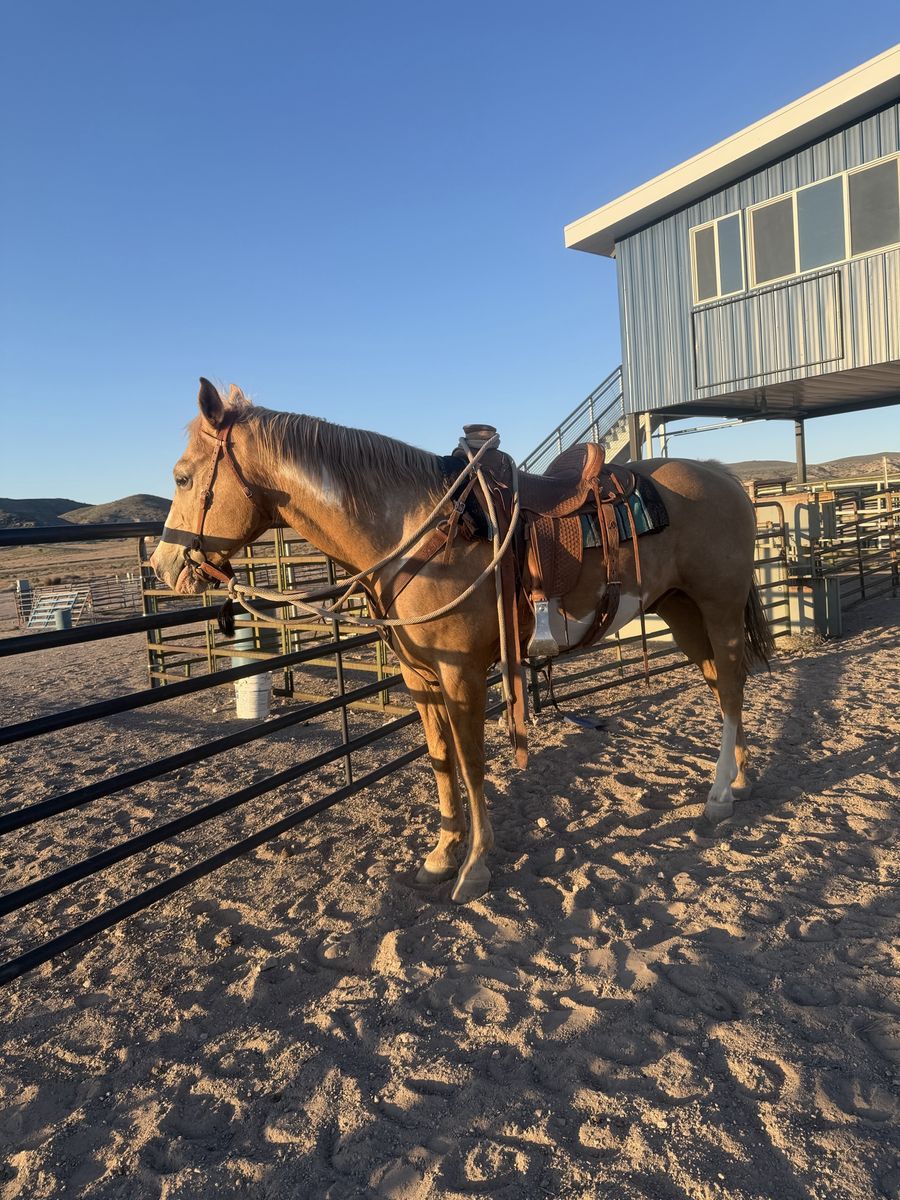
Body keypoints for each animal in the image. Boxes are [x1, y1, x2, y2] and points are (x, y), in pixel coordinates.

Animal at [150, 379, 774, 902]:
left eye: (182, 477)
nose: (162, 566)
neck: (413, 531)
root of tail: (725, 477)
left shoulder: (462, 673)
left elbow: (473, 764)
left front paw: (474, 867)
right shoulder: (420, 676)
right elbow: (441, 761)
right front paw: (442, 856)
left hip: (716, 609)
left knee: (731, 690)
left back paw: (719, 796)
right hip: (683, 612)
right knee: (725, 687)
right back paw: (740, 782)